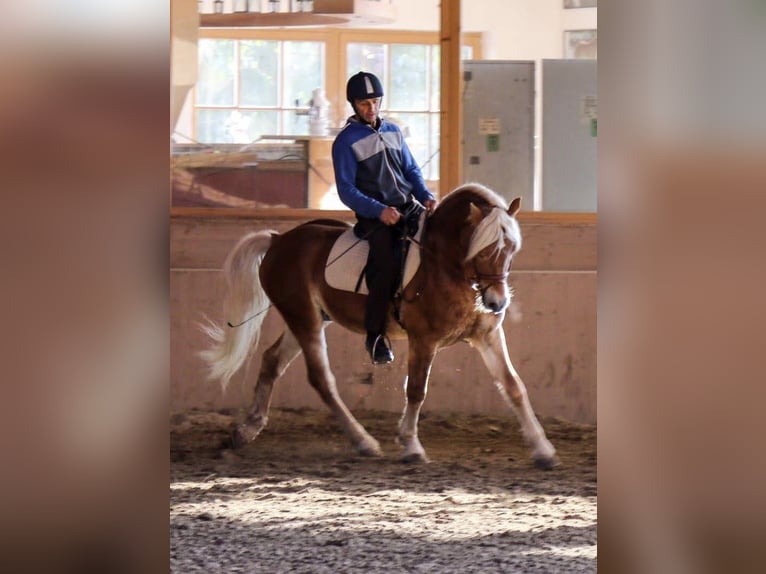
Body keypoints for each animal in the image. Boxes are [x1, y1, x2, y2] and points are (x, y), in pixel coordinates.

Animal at [198, 182, 560, 470]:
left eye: (511, 250)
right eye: (483, 251)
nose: (497, 303)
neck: (446, 267)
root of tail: (277, 240)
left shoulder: (486, 336)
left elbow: (513, 386)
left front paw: (543, 450)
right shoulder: (423, 339)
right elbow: (416, 390)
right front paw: (411, 446)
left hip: (304, 317)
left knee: (272, 360)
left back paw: (246, 430)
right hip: (304, 317)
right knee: (321, 379)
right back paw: (364, 442)